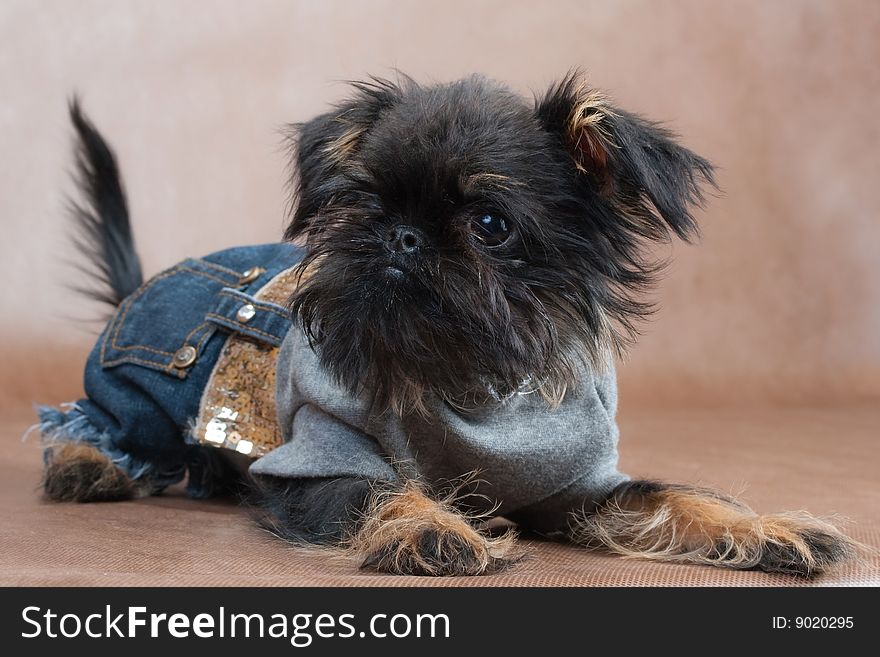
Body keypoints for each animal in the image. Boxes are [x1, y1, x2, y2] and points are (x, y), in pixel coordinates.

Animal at [41, 73, 852, 576]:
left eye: (490, 224)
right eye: (364, 203)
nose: (401, 235)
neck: (473, 385)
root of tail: (145, 286)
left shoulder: (577, 485)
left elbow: (669, 496)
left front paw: (762, 528)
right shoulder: (321, 457)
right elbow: (375, 492)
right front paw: (429, 523)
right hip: (136, 396)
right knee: (91, 423)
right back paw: (87, 464)